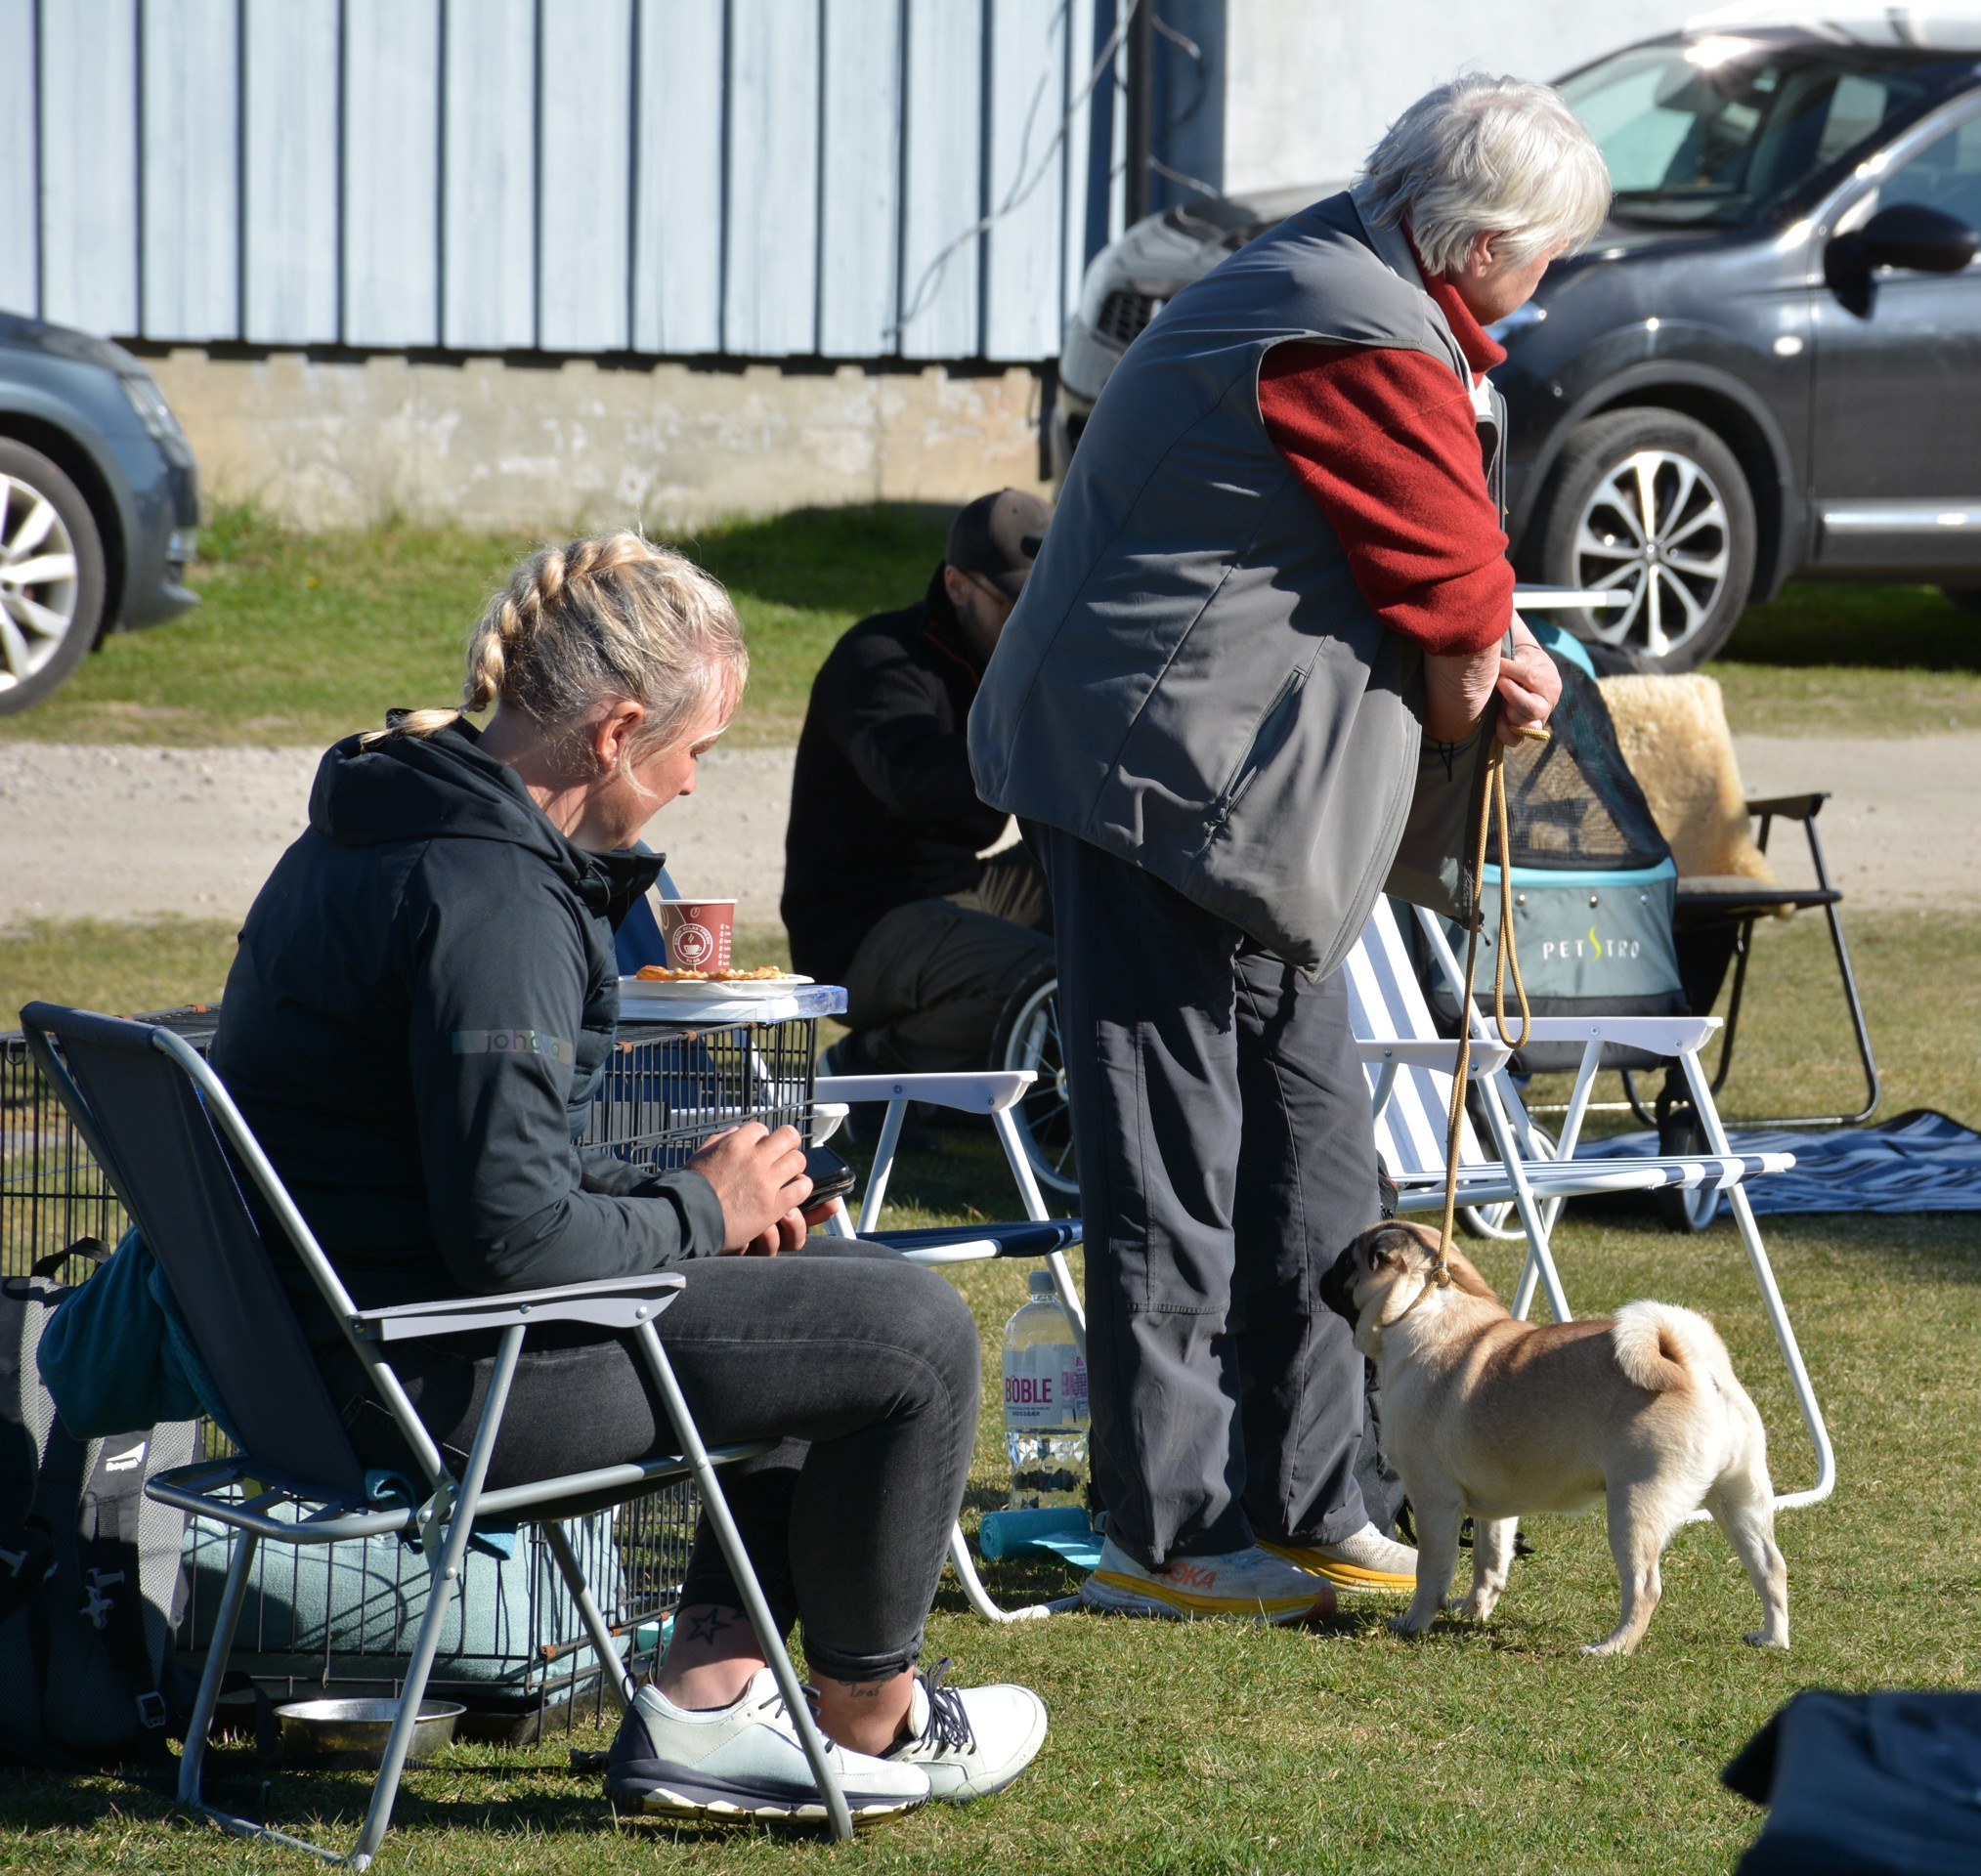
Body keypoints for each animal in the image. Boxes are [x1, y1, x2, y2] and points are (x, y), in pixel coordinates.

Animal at [1320, 1221, 1788, 1656]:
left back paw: (1612, 1648)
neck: (1423, 1312)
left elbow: (1432, 1571)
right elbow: (1489, 1562)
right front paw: (1472, 1611)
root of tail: (1694, 1367)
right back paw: (1771, 1638)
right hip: (1739, 1498)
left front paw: (1415, 1623)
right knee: (1769, 1567)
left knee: (1644, 1586)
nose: (1324, 1271)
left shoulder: (1434, 1500)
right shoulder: (1494, 1509)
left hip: (1635, 1506)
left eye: (1347, 1263)